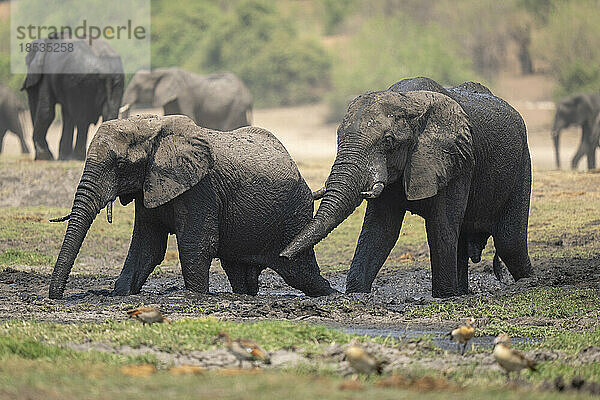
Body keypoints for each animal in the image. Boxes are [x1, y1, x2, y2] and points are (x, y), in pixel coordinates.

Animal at [49, 114, 338, 298]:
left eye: (120, 165)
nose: (57, 296)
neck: (149, 124)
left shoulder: (201, 188)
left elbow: (196, 243)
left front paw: (196, 295)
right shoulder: (149, 186)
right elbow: (147, 246)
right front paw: (120, 293)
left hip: (294, 214)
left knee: (300, 271)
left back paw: (331, 294)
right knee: (238, 271)